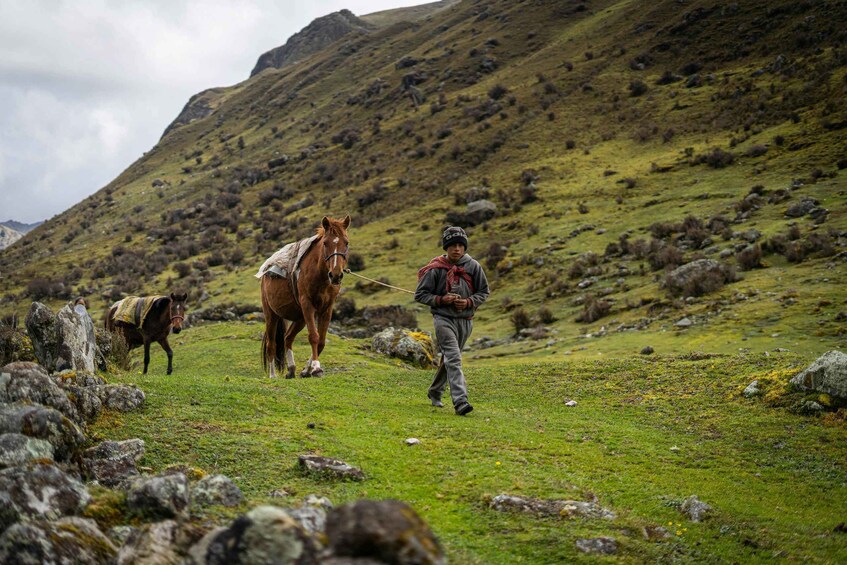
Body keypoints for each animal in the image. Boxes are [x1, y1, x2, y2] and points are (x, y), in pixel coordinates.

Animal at [259, 215, 351, 378]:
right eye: (325, 243)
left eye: (346, 243)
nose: (335, 275)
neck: (320, 275)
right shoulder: (308, 305)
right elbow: (313, 336)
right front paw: (316, 367)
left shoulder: (327, 309)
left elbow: (321, 341)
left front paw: (307, 370)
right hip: (271, 315)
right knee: (271, 344)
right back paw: (273, 375)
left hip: (300, 318)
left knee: (288, 338)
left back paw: (291, 369)